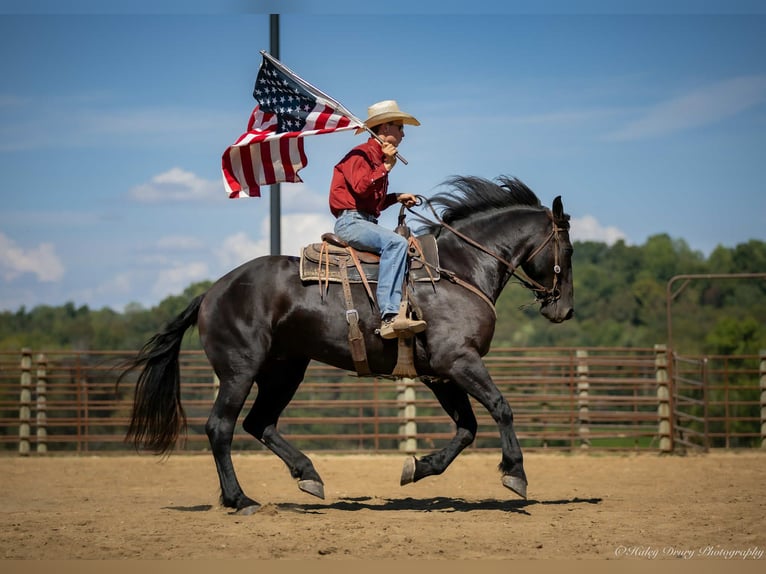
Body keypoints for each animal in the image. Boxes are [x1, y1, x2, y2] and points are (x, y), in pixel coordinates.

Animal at [120, 175, 574, 515]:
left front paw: (416, 468)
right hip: (240, 370)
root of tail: (211, 292)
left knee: (259, 423)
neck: (456, 271)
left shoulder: (440, 375)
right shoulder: (458, 360)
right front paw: (515, 474)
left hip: (285, 370)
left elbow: (466, 429)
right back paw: (240, 499)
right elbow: (500, 407)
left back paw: (309, 476)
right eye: (567, 249)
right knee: (221, 428)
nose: (565, 309)